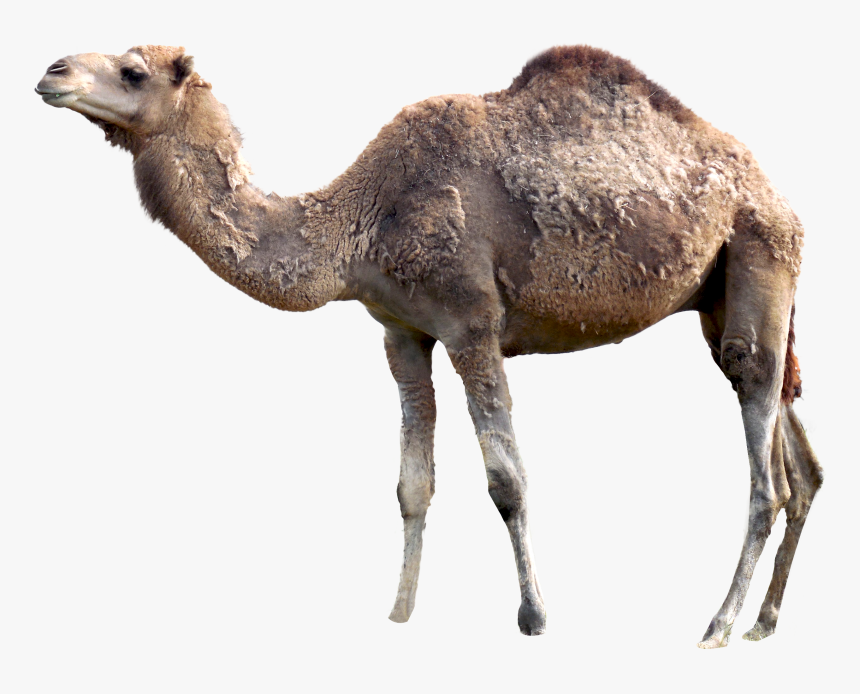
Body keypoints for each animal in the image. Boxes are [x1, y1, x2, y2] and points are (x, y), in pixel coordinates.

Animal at [35, 44, 823, 646]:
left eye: (133, 71)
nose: (52, 71)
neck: (360, 221)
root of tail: (774, 194)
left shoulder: (472, 323)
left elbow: (507, 481)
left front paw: (534, 617)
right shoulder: (401, 332)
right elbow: (411, 485)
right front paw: (399, 613)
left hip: (758, 250)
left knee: (767, 469)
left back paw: (717, 626)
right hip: (724, 296)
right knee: (797, 454)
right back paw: (764, 623)